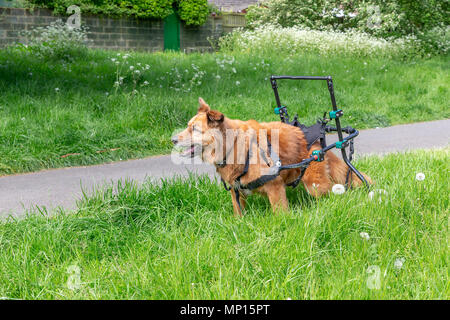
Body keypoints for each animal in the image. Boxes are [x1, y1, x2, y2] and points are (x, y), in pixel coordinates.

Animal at [171, 97, 370, 216]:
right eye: (187, 126)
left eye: (195, 129)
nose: (172, 139)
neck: (234, 145)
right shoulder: (236, 192)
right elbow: (238, 214)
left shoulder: (275, 188)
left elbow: (280, 215)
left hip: (315, 185)